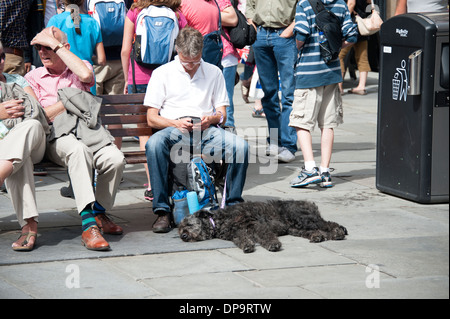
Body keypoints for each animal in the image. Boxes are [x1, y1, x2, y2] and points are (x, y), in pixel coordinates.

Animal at [178, 200, 348, 255]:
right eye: (179, 231)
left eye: (188, 224)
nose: (183, 236)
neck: (218, 221)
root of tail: (308, 204)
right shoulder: (237, 233)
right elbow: (242, 240)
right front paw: (247, 246)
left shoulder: (254, 225)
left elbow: (266, 236)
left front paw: (273, 244)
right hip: (295, 228)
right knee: (316, 230)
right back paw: (317, 236)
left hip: (303, 219)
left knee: (327, 224)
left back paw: (337, 232)